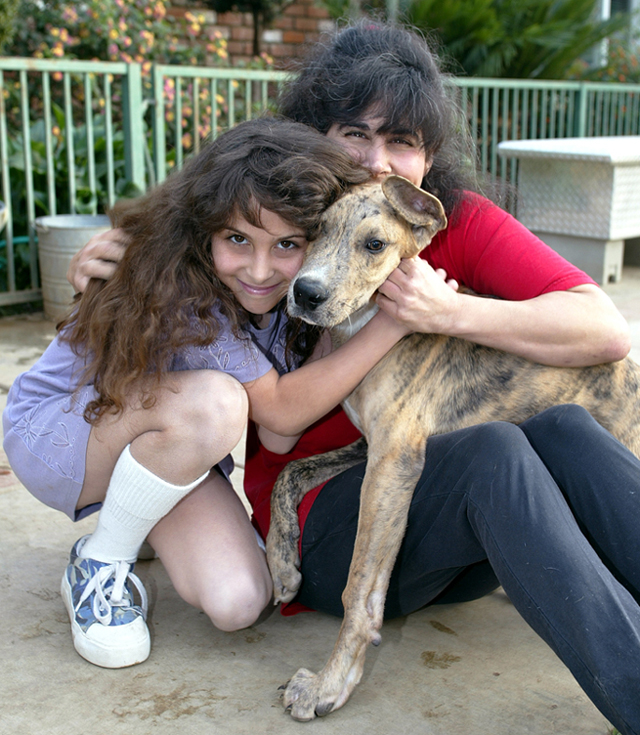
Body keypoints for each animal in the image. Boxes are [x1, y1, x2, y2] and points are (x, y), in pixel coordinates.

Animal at [264, 175, 640, 720]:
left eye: (374, 245)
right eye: (317, 231)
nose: (305, 293)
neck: (369, 330)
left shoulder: (392, 462)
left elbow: (360, 587)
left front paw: (330, 685)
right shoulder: (368, 445)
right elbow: (288, 473)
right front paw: (283, 566)